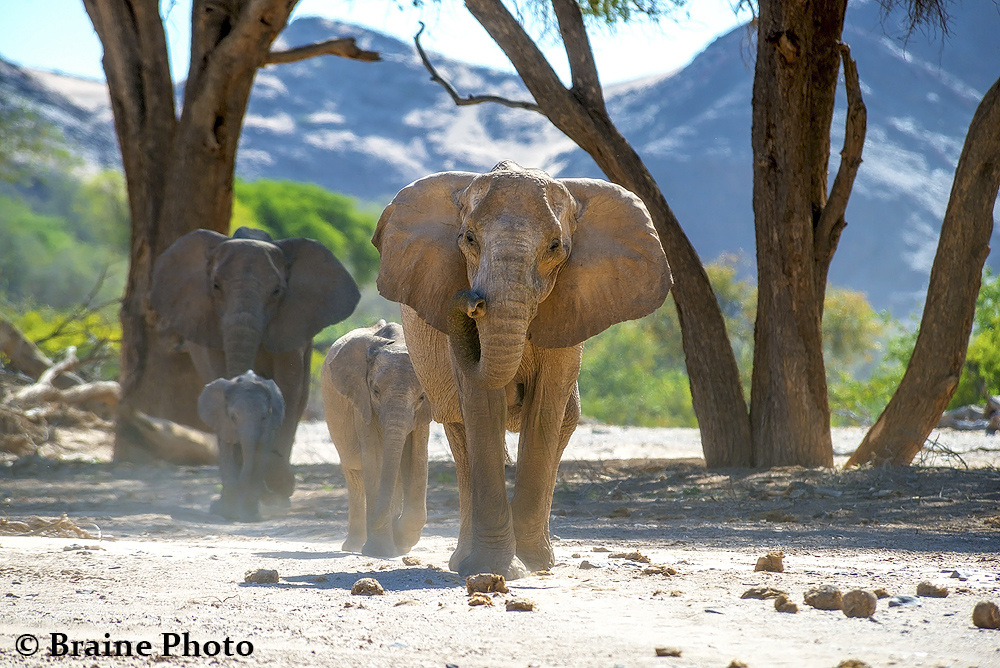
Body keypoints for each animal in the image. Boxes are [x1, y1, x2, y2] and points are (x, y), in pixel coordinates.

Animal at [150, 224, 362, 500]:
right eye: (215, 286)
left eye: (276, 292)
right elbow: (219, 380)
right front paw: (240, 487)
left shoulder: (292, 323)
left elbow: (289, 385)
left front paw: (277, 483)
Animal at [198, 370, 286, 520]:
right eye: (233, 417)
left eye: (264, 417)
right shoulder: (224, 422)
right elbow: (227, 454)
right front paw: (226, 513)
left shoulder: (269, 429)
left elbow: (260, 459)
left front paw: (251, 517)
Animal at [320, 320, 430, 556]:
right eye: (376, 391)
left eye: (421, 397)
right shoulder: (362, 400)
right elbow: (376, 458)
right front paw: (381, 551)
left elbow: (417, 458)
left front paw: (401, 542)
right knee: (355, 474)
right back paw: (354, 545)